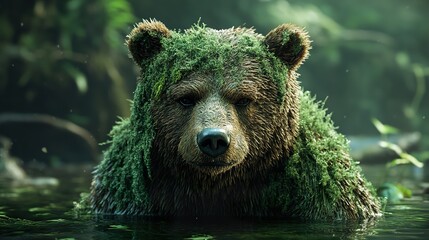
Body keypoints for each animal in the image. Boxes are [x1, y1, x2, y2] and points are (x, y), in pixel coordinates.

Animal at [88, 19, 382, 220]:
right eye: (186, 98)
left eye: (243, 99)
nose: (214, 139)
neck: (217, 184)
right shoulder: (128, 195)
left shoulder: (322, 192)